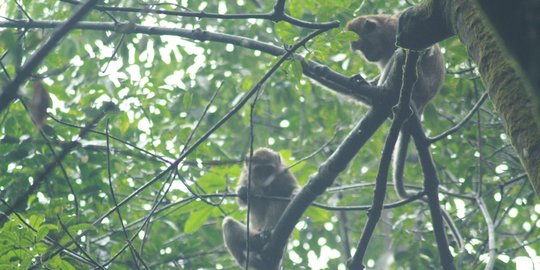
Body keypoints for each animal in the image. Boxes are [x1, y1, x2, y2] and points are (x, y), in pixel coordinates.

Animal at [346, 13, 464, 248]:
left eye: (363, 45)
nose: (367, 57)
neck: (384, 36)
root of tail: (423, 101)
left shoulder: (399, 30)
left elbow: (420, 50)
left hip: (420, 83)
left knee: (401, 56)